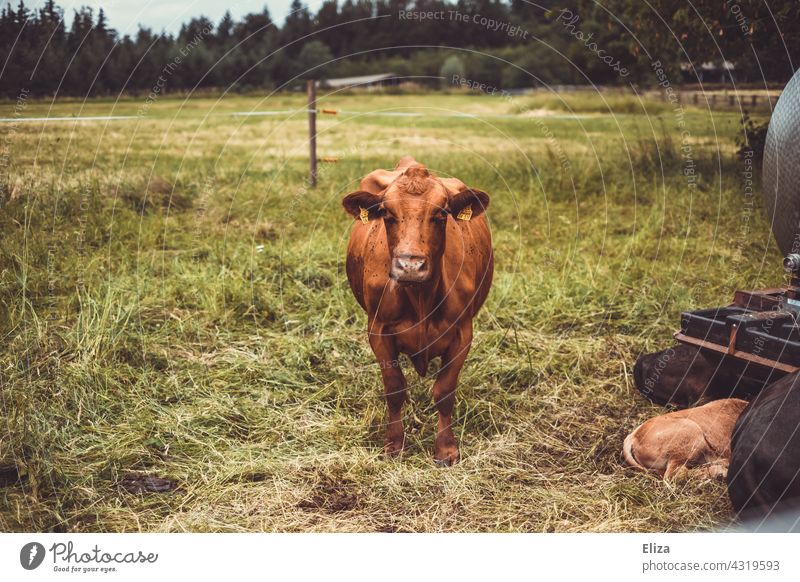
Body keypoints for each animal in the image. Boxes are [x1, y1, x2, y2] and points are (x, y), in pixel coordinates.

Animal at [340, 156, 490, 466]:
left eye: (441, 213)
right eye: (386, 213)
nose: (410, 265)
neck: (420, 299)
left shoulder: (462, 334)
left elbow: (444, 391)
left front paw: (446, 449)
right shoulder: (379, 332)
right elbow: (395, 388)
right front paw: (394, 444)